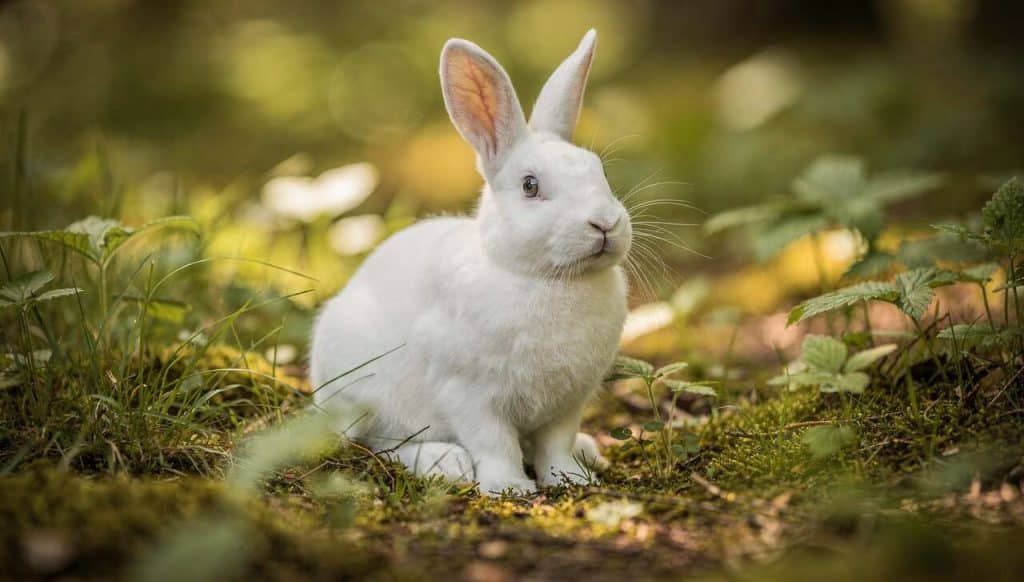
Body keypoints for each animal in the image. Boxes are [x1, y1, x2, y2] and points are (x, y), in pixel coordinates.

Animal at [310, 29, 631, 496]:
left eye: (600, 171)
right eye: (530, 186)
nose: (605, 223)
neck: (544, 277)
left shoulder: (567, 404)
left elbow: (556, 445)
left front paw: (572, 479)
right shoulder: (469, 395)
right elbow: (494, 443)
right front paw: (509, 487)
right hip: (366, 395)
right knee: (380, 442)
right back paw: (445, 462)